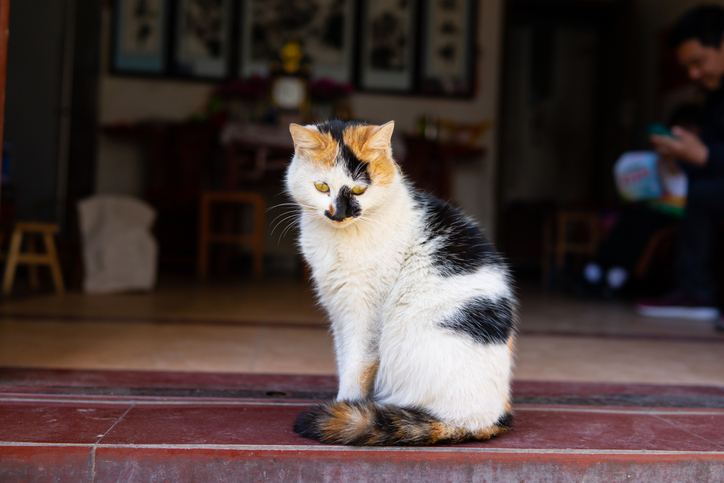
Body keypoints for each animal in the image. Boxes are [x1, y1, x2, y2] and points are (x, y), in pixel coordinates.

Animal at [284, 121, 516, 446]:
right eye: (322, 187)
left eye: (359, 189)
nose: (339, 213)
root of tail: (491, 420)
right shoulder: (340, 313)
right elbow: (344, 360)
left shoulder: (364, 314)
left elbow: (357, 367)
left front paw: (343, 407)